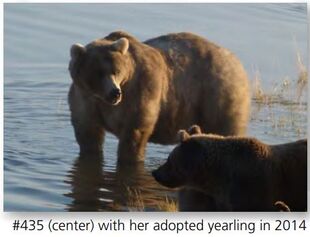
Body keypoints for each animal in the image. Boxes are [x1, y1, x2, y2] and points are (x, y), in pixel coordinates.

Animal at [68, 31, 249, 211]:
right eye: (98, 72)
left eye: (116, 71)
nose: (115, 92)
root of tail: (235, 59)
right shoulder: (85, 100)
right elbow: (89, 138)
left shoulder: (139, 94)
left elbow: (134, 135)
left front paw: (130, 162)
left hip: (216, 97)